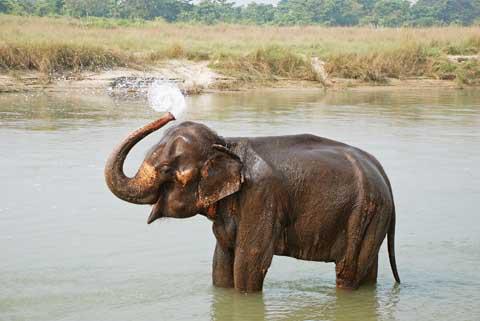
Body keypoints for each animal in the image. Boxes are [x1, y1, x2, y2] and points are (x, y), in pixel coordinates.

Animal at [105, 112, 402, 290]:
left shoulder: (261, 196)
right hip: (373, 216)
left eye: (169, 171)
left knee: (348, 270)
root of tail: (384, 174)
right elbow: (222, 260)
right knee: (367, 268)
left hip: (364, 212)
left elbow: (249, 261)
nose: (169, 114)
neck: (226, 143)